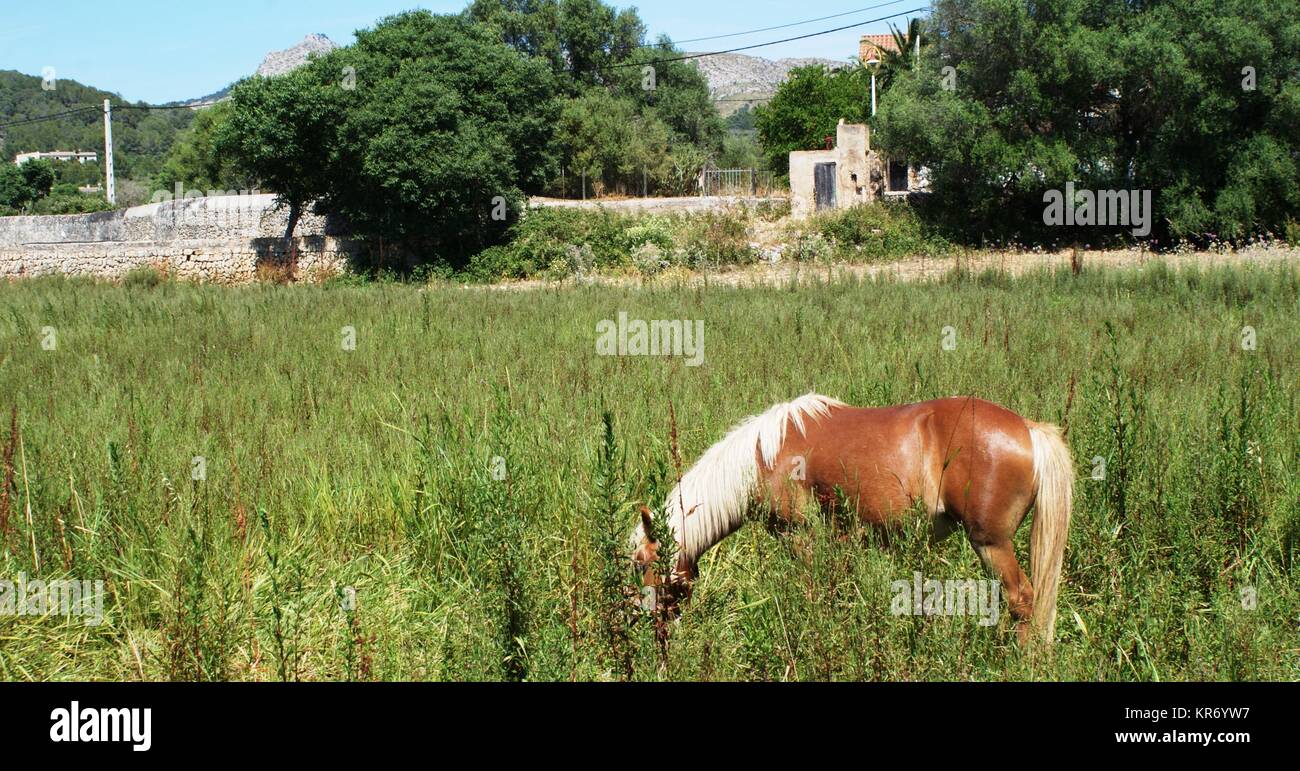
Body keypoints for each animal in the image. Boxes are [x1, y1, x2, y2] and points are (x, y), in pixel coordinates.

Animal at [631, 392, 1076, 639]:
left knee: (1023, 602)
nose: (648, 625)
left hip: (991, 543)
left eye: (640, 564)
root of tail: (1030, 429)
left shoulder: (801, 537)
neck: (762, 459)